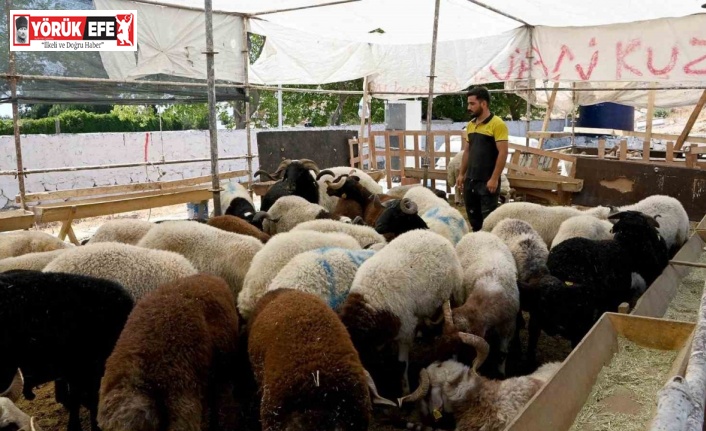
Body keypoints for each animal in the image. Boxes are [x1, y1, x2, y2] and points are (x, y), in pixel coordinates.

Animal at [336, 230, 462, 394]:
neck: (371, 300)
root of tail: (432, 234)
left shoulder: (405, 331)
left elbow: (402, 365)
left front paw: (405, 390)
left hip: (453, 292)